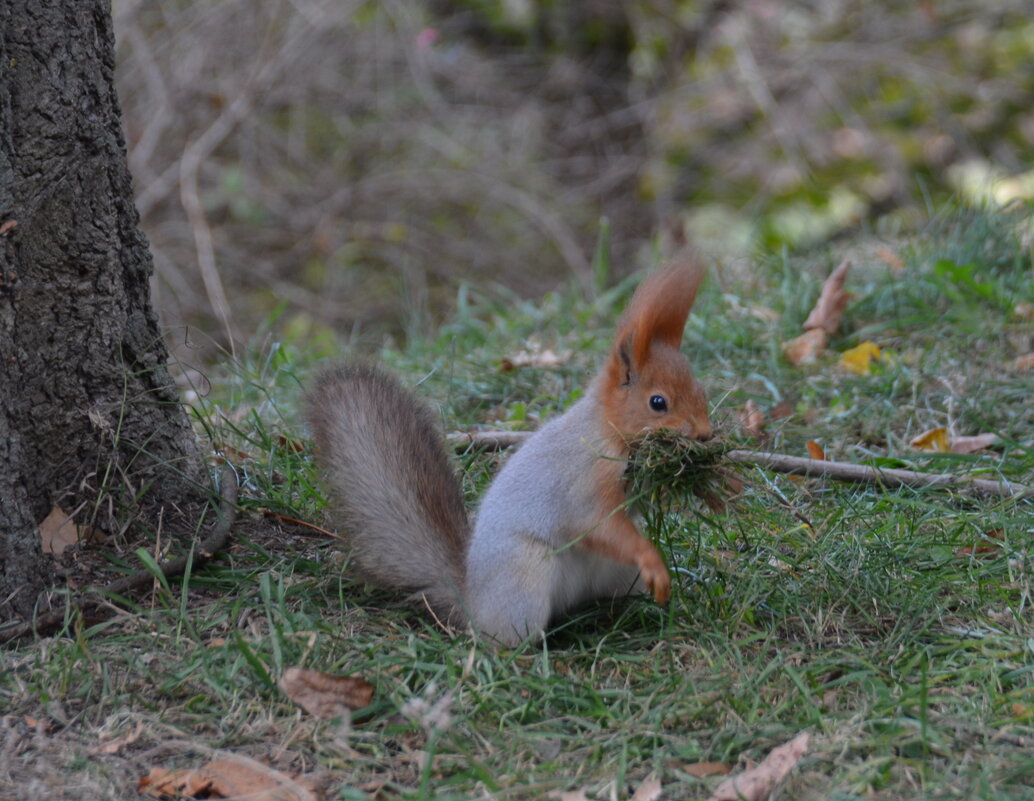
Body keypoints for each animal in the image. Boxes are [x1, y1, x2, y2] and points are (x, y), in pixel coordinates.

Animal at [306, 260, 711, 649]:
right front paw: (653, 560)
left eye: (700, 389)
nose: (705, 435)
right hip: (525, 579)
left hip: (617, 575)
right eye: (657, 402)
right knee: (502, 640)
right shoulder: (583, 479)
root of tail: (473, 602)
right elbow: (596, 523)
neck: (605, 431)